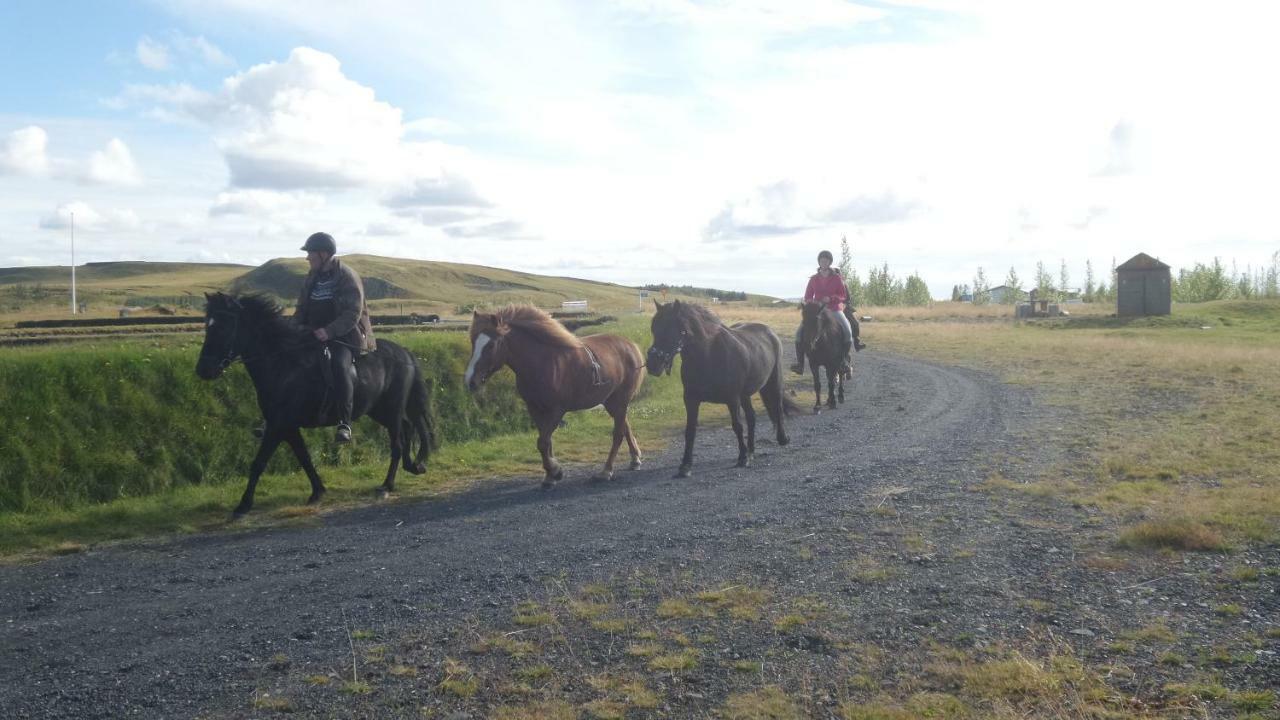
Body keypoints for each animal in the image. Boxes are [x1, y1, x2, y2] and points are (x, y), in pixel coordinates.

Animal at [195, 292, 440, 515]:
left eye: (223, 327)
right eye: (208, 326)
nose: (203, 370)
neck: (283, 364)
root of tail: (404, 353)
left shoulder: (278, 426)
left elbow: (258, 463)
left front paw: (243, 505)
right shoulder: (288, 427)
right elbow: (304, 458)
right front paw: (318, 491)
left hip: (392, 408)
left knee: (398, 442)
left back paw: (387, 484)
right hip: (379, 410)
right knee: (408, 427)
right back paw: (413, 466)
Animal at [465, 302, 645, 486]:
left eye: (491, 345)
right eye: (473, 342)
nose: (471, 381)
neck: (543, 362)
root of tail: (630, 345)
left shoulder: (557, 410)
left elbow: (543, 442)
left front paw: (554, 471)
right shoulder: (534, 408)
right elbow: (545, 442)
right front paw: (550, 473)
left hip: (620, 399)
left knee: (618, 434)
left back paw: (606, 470)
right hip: (610, 401)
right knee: (625, 426)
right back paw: (635, 459)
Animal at [645, 297, 793, 476]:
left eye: (671, 329)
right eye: (654, 329)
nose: (652, 364)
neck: (709, 355)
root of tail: (769, 331)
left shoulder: (732, 398)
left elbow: (737, 426)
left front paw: (742, 458)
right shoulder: (691, 399)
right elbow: (690, 430)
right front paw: (685, 465)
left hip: (773, 382)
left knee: (777, 407)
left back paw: (781, 439)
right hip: (745, 395)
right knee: (752, 417)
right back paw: (751, 450)